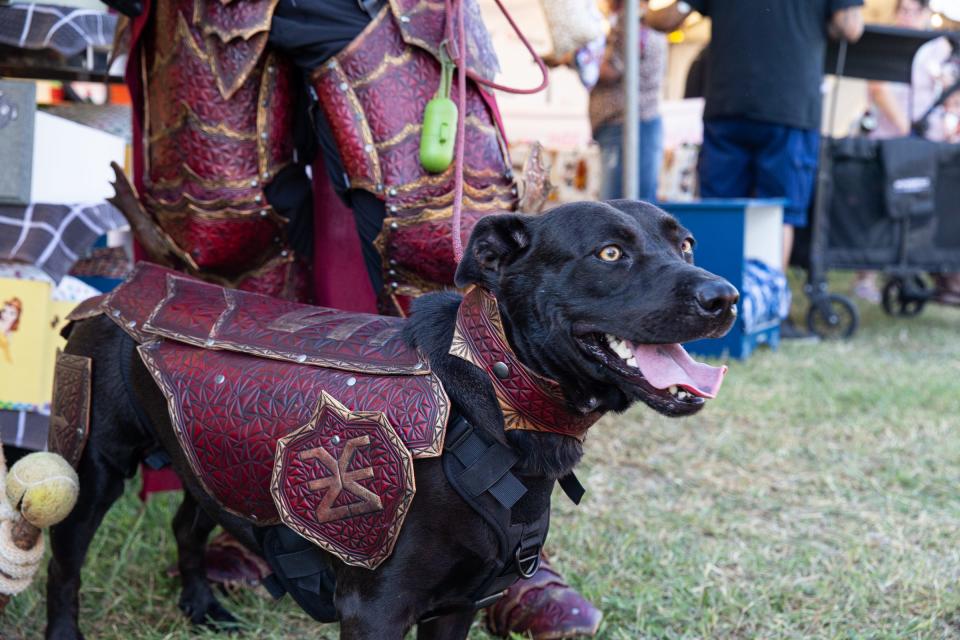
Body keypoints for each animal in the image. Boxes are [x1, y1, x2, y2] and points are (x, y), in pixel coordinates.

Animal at [43, 201, 736, 640]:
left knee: (187, 525)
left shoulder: (458, 607)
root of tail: (122, 282)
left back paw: (201, 605)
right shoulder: (376, 611)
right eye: (610, 252)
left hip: (209, 464)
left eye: (686, 244)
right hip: (92, 468)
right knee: (65, 570)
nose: (724, 297)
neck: (487, 396)